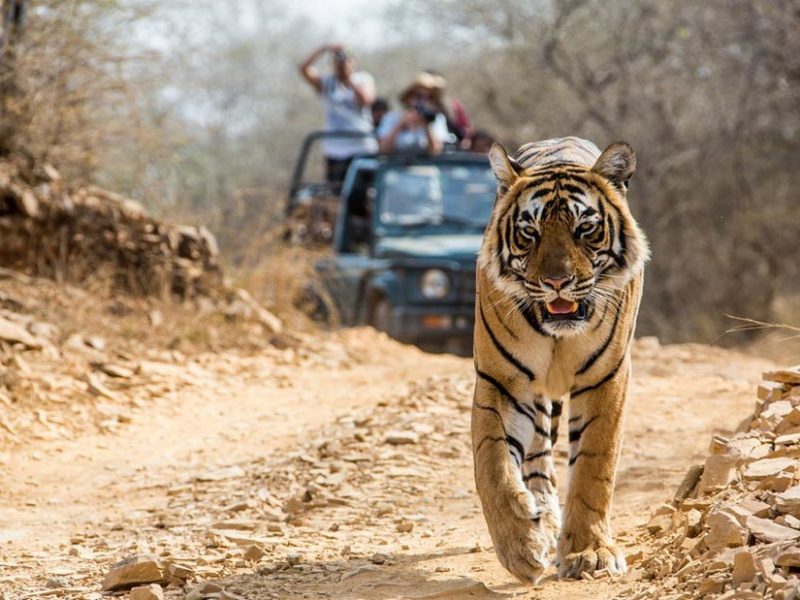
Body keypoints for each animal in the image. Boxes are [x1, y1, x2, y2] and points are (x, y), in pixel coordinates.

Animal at [468, 136, 648, 580]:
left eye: (585, 229)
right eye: (529, 233)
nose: (556, 282)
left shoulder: (606, 378)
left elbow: (593, 469)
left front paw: (590, 553)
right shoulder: (501, 381)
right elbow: (493, 465)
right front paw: (520, 545)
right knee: (537, 457)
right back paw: (542, 520)